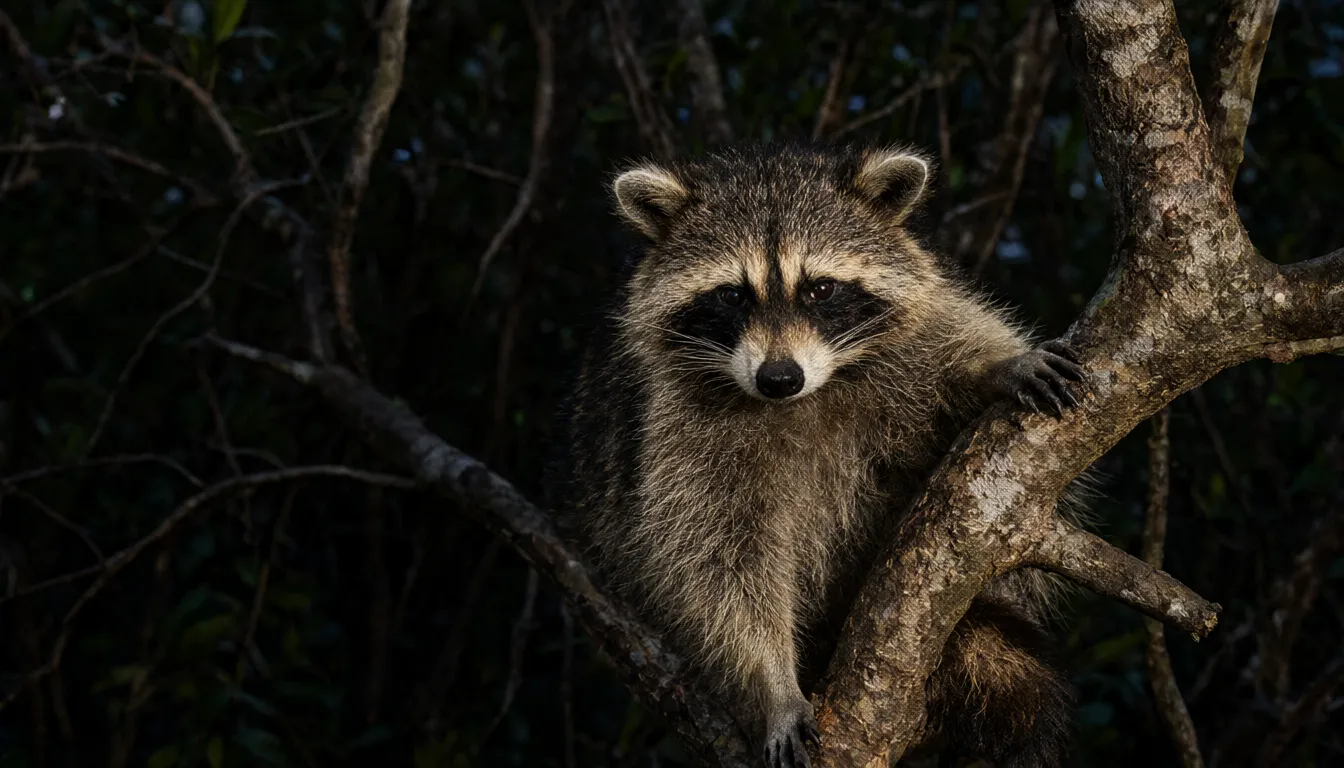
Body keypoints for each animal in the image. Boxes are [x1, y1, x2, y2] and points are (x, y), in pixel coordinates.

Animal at [547, 143, 1084, 767]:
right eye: (732, 294)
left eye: (820, 289)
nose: (779, 378)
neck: (802, 399)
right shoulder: (676, 430)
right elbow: (718, 559)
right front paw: (773, 683)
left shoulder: (910, 343)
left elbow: (952, 344)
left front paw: (997, 366)